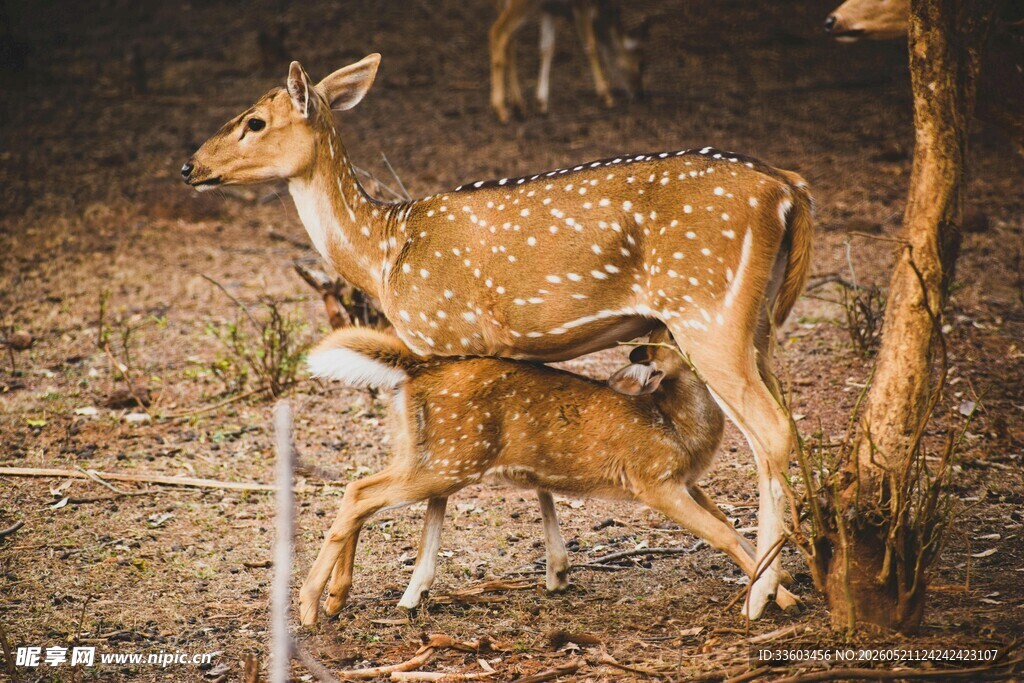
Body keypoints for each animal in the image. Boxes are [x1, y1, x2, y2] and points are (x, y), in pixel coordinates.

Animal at [300, 324, 800, 622]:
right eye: (674, 336)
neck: (678, 429)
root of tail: (416, 370)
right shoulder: (653, 481)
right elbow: (723, 534)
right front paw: (781, 599)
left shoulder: (689, 482)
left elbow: (734, 524)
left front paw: (784, 582)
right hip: (451, 460)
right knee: (359, 492)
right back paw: (308, 607)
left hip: (424, 453)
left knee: (362, 488)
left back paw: (338, 598)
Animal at [490, 0, 646, 123]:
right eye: (640, 64)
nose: (640, 94)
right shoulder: (581, 4)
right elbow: (591, 44)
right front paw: (606, 96)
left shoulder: (548, 8)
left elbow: (547, 47)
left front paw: (542, 103)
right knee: (497, 33)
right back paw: (501, 110)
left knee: (510, 43)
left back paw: (519, 106)